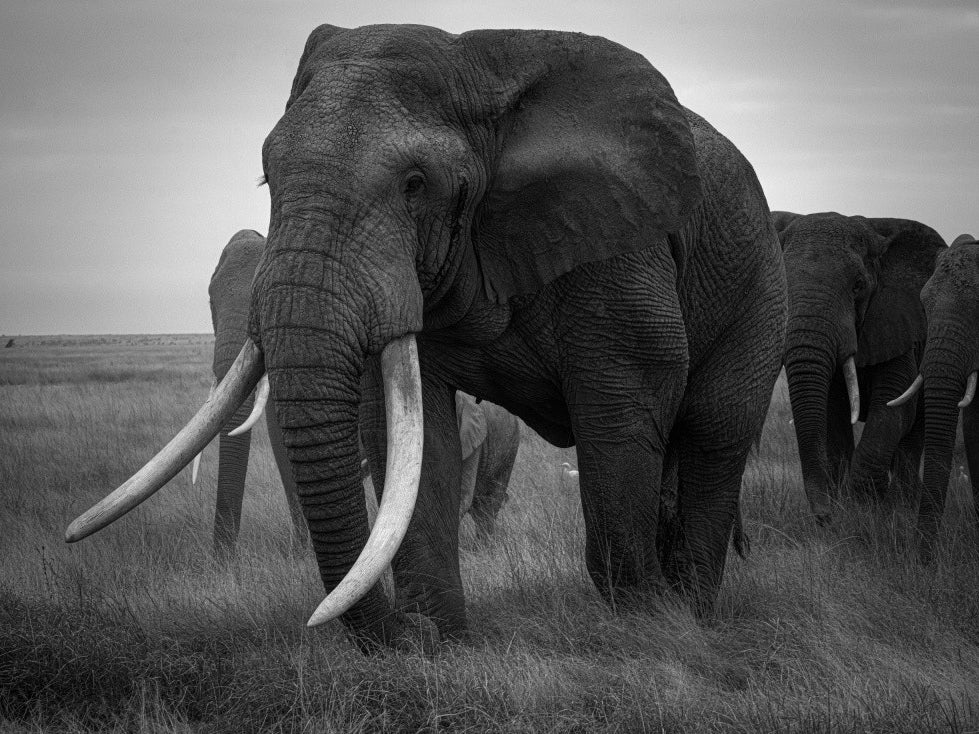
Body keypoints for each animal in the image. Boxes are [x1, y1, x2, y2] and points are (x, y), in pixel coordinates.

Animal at [773, 211, 946, 524]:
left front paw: (866, 506)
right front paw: (846, 507)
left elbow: (894, 408)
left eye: (858, 286)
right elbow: (834, 414)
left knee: (917, 428)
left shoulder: (897, 322)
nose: (823, 517)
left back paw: (903, 505)